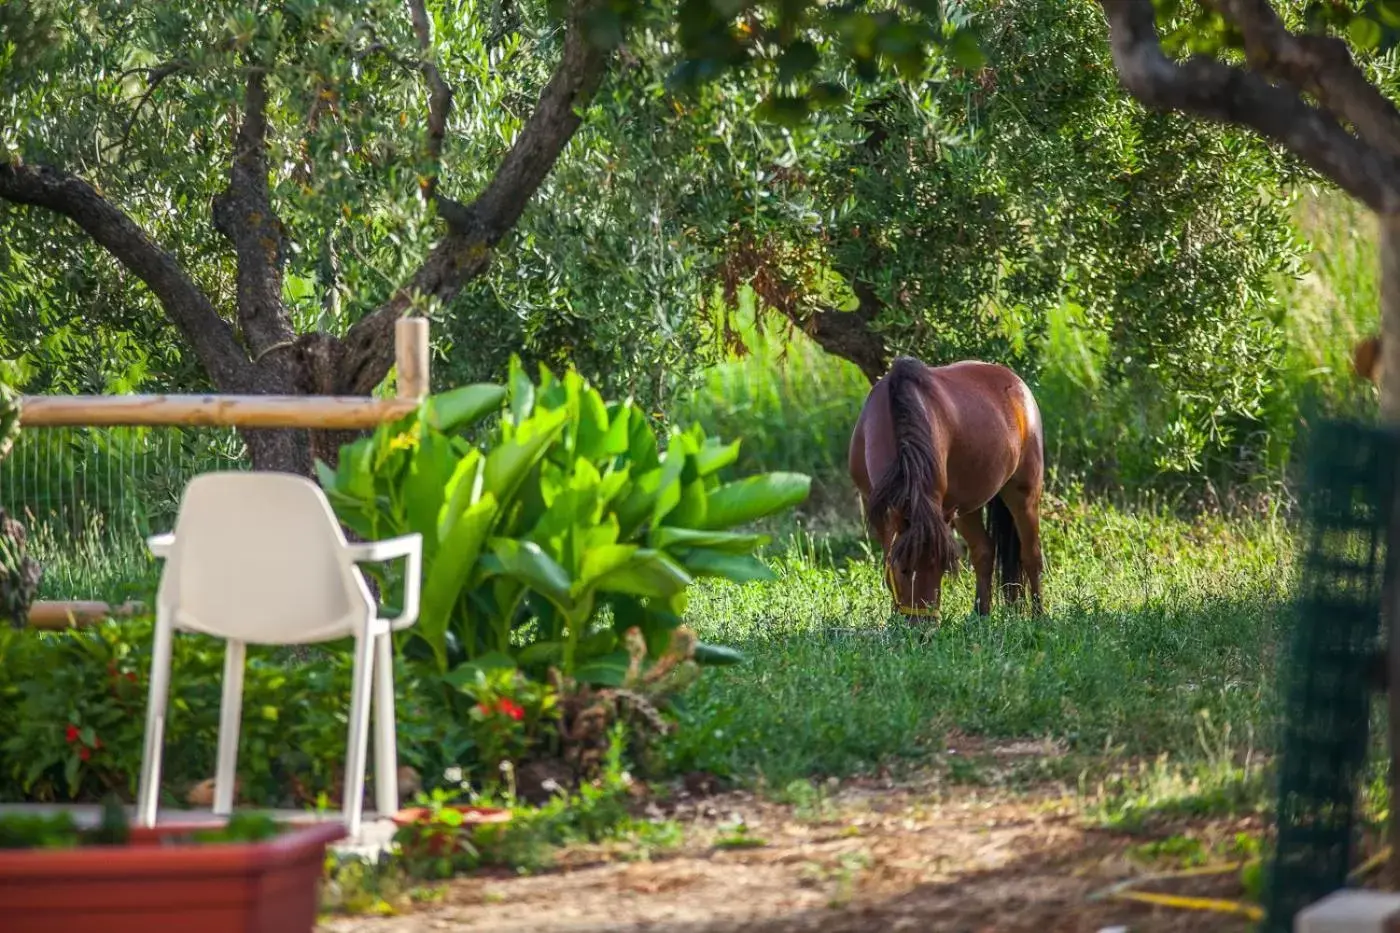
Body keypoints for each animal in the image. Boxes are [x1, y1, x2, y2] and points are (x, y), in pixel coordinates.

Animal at [845, 355, 1047, 616]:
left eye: (942, 568)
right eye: (903, 569)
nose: (922, 623)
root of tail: (1016, 383)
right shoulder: (881, 510)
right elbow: (888, 556)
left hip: (1023, 495)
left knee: (1030, 555)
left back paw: (1039, 615)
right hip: (967, 508)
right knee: (984, 551)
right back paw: (981, 615)